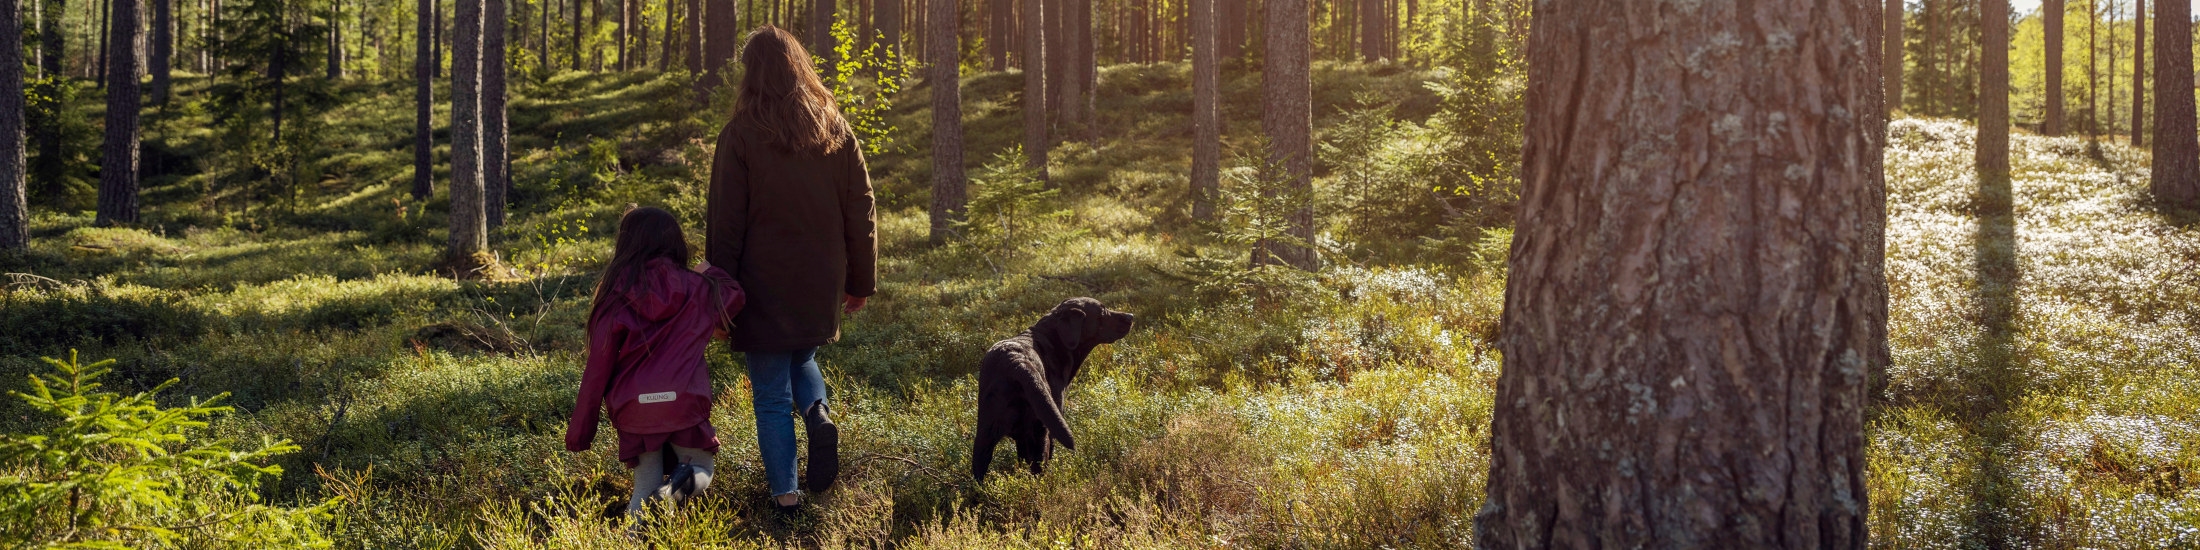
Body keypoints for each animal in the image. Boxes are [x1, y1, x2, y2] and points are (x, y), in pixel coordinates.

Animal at [972, 297, 1135, 481]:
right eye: (1102, 312)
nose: (1130, 316)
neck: (1055, 340)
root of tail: (1016, 361)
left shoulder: (1021, 436)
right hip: (1040, 427)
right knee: (1039, 464)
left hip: (986, 431)